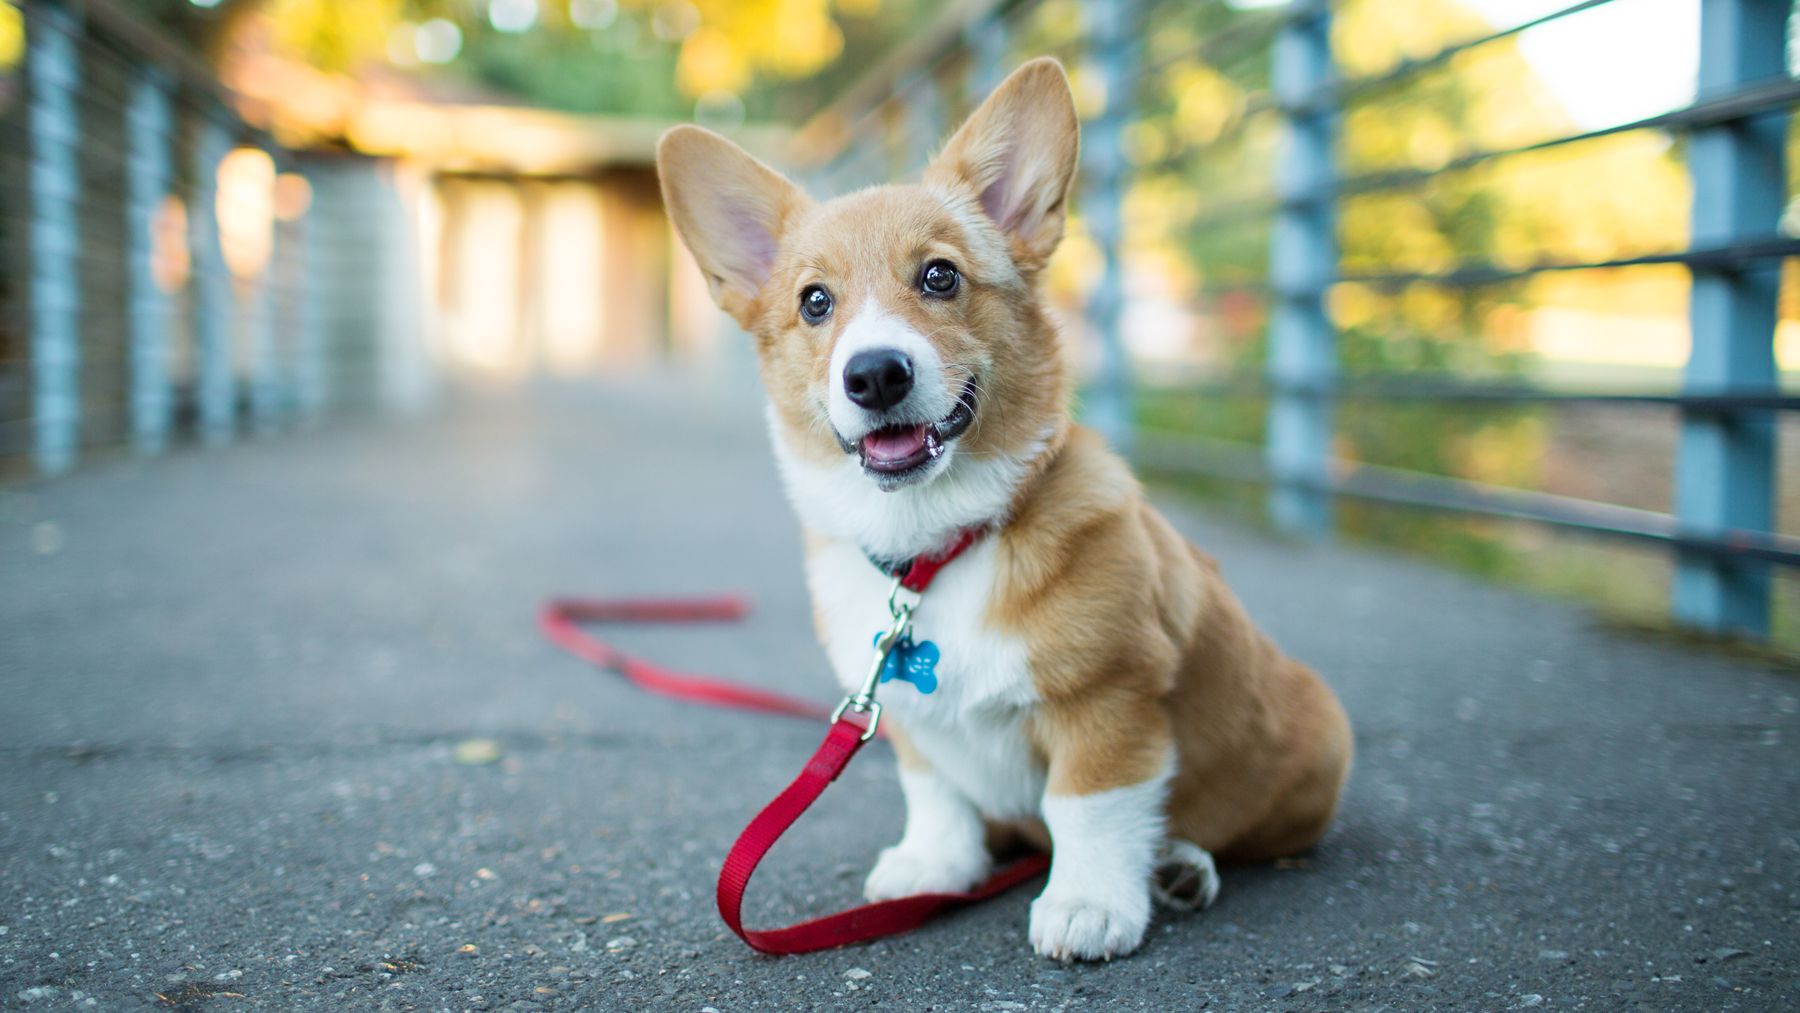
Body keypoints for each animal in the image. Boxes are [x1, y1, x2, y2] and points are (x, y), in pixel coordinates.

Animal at [658, 57, 1353, 964]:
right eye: (814, 302)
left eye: (940, 276)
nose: (874, 374)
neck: (938, 545)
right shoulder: (908, 720)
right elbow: (938, 795)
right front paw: (935, 865)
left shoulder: (1108, 701)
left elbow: (1087, 807)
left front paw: (1089, 905)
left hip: (1311, 744)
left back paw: (1179, 864)